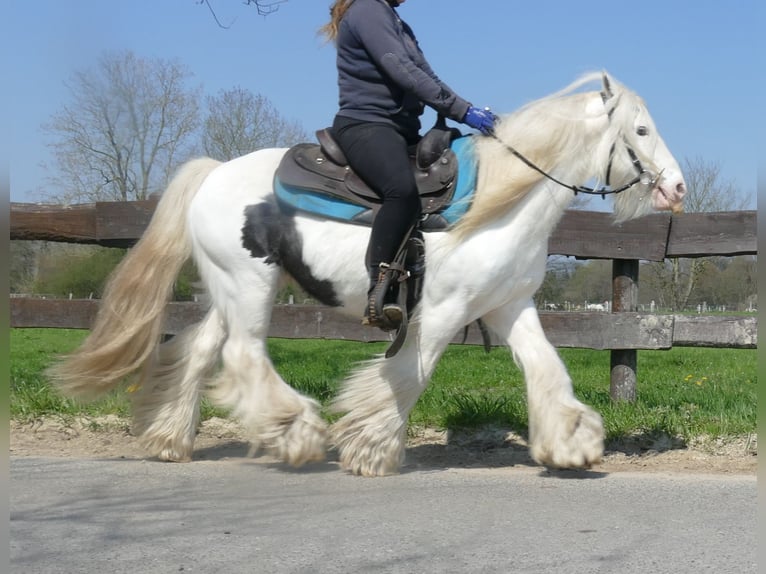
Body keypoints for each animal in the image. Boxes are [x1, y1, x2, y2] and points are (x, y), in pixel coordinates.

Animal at [49, 71, 688, 476]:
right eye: (640, 131)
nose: (678, 188)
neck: (500, 201)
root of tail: (211, 174)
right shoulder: (442, 311)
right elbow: (408, 376)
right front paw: (370, 448)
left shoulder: (510, 305)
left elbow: (547, 369)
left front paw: (571, 445)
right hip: (250, 285)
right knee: (243, 354)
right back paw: (297, 431)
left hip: (231, 287)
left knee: (202, 349)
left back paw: (169, 440)